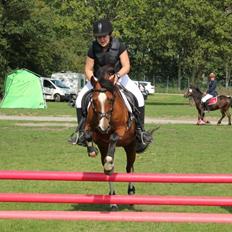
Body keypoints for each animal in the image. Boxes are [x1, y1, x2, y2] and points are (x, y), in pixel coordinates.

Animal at [81, 65, 156, 210]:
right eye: (94, 101)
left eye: (111, 100)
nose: (103, 127)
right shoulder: (95, 134)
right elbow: (88, 134)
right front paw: (92, 151)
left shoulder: (121, 130)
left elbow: (114, 137)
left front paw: (108, 159)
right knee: (111, 170)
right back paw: (113, 199)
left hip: (130, 145)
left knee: (129, 168)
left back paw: (131, 194)